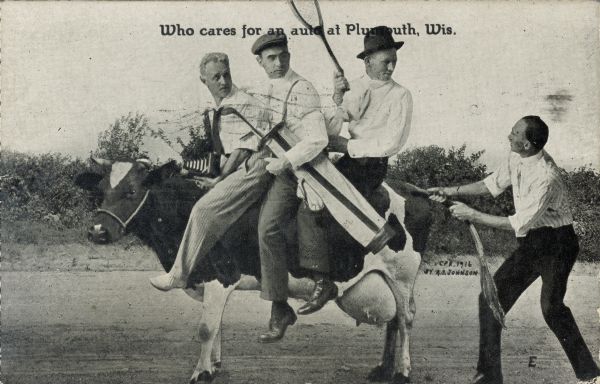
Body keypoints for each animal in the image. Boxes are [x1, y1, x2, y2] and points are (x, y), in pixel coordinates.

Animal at [76, 158, 432, 384]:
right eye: (101, 192)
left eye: (132, 191)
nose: (97, 231)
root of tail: (415, 189)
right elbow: (217, 326)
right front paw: (214, 367)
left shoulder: (220, 275)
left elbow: (206, 328)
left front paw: (200, 374)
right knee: (392, 323)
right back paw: (382, 370)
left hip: (403, 274)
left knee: (405, 319)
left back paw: (402, 372)